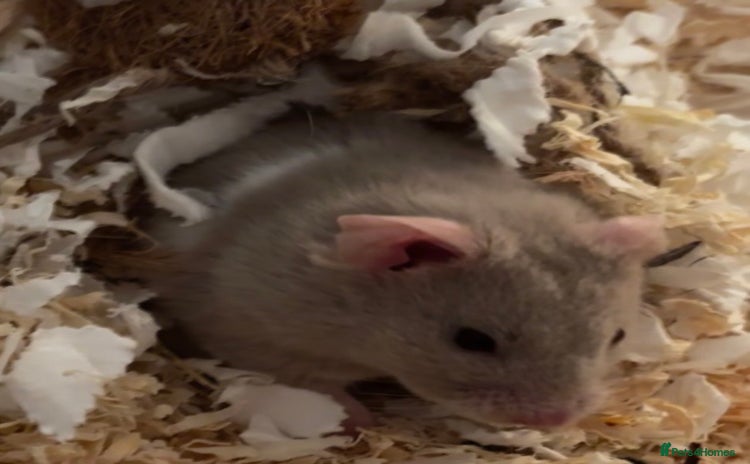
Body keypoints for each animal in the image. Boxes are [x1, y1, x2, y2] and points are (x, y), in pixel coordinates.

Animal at [140, 109, 667, 430]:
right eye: (472, 341)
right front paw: (358, 421)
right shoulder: (254, 331)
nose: (555, 420)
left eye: (617, 337)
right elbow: (315, 383)